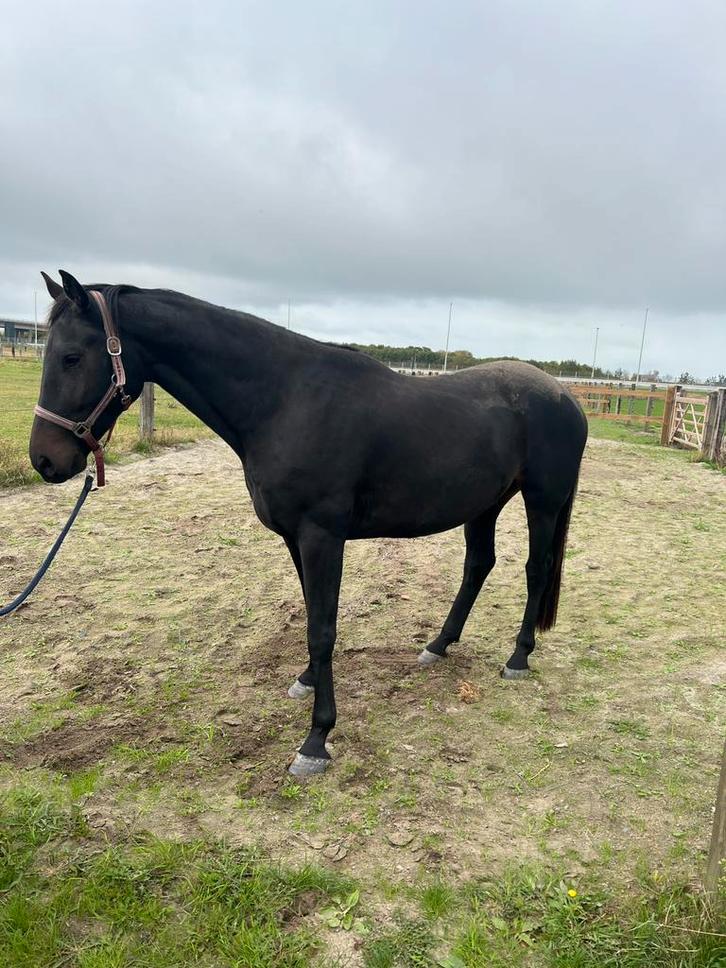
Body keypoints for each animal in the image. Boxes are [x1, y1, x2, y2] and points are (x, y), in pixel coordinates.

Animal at [30, 271, 588, 776]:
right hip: (484, 504)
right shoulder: (296, 539)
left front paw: (316, 740)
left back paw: (518, 659)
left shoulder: (322, 537)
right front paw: (307, 682)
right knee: (478, 566)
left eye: (72, 357)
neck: (284, 400)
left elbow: (323, 627)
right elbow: (311, 617)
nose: (44, 461)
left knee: (535, 571)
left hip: (542, 502)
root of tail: (566, 398)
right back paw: (438, 645)